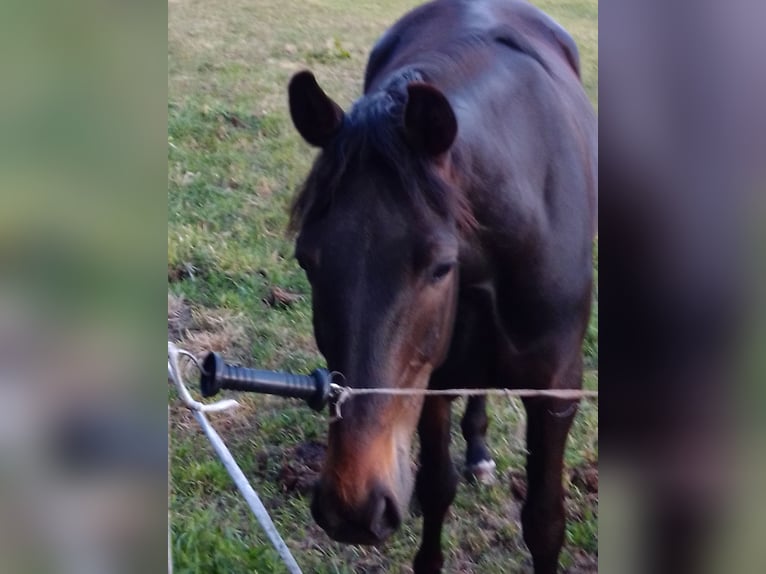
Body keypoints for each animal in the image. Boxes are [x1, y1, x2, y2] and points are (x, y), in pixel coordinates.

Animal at [286, 0, 596, 572]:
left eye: (438, 266)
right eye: (307, 260)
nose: (351, 508)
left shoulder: (556, 394)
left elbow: (545, 522)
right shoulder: (430, 383)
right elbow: (435, 489)